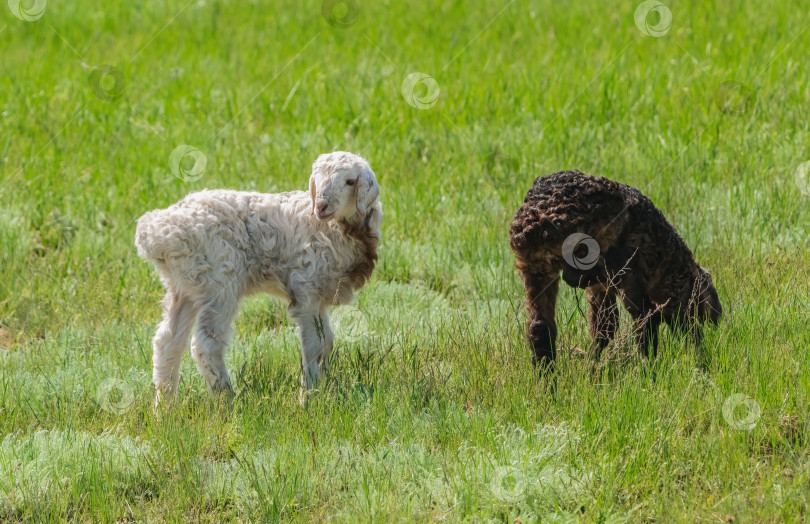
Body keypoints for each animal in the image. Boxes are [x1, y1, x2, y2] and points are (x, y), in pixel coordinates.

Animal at [134, 151, 380, 406]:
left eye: (350, 181)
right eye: (317, 180)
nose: (321, 206)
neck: (333, 228)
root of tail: (156, 232)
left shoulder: (319, 292)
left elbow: (327, 341)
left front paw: (322, 388)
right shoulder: (306, 288)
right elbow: (314, 345)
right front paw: (308, 397)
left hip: (186, 285)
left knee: (167, 342)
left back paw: (164, 406)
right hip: (220, 282)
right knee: (206, 344)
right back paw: (227, 401)